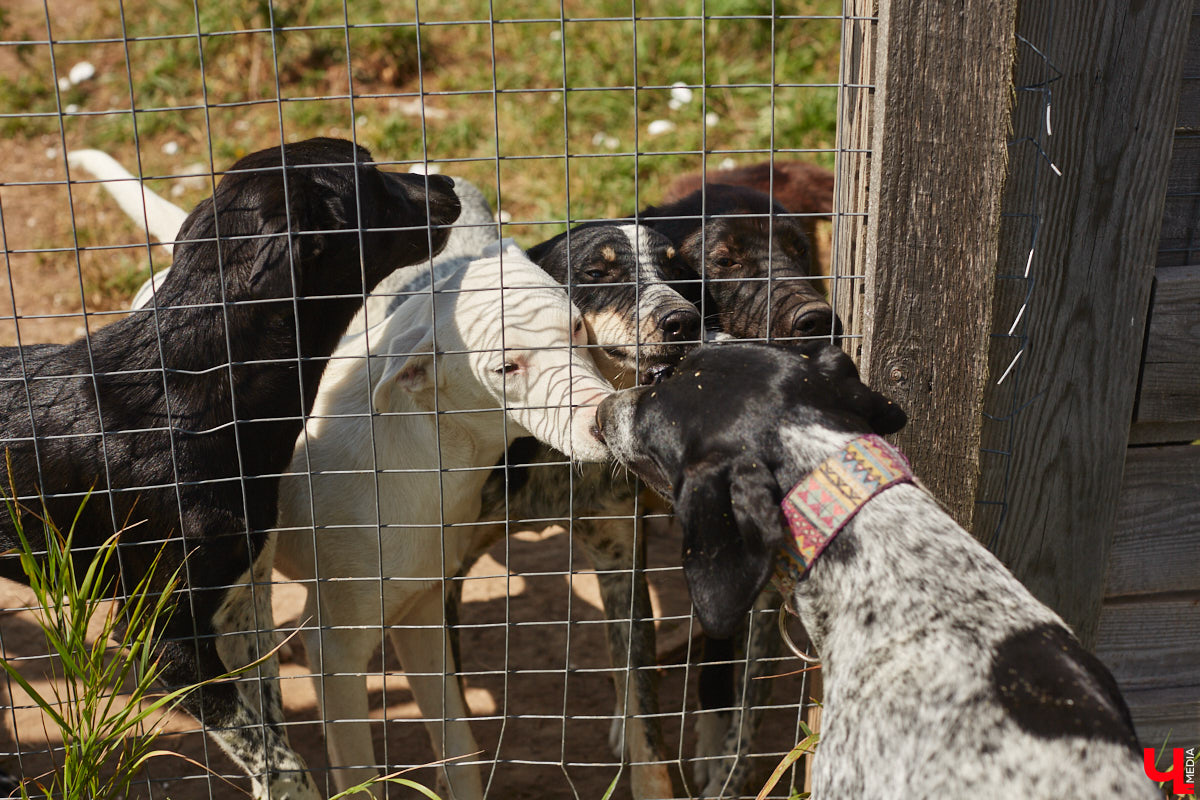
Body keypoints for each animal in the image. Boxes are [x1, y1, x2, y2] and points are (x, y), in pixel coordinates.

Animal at [1, 137, 458, 800]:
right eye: (370, 177)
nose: (447, 184)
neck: (193, 391)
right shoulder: (161, 639)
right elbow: (280, 762)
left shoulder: (244, 607)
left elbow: (273, 734)